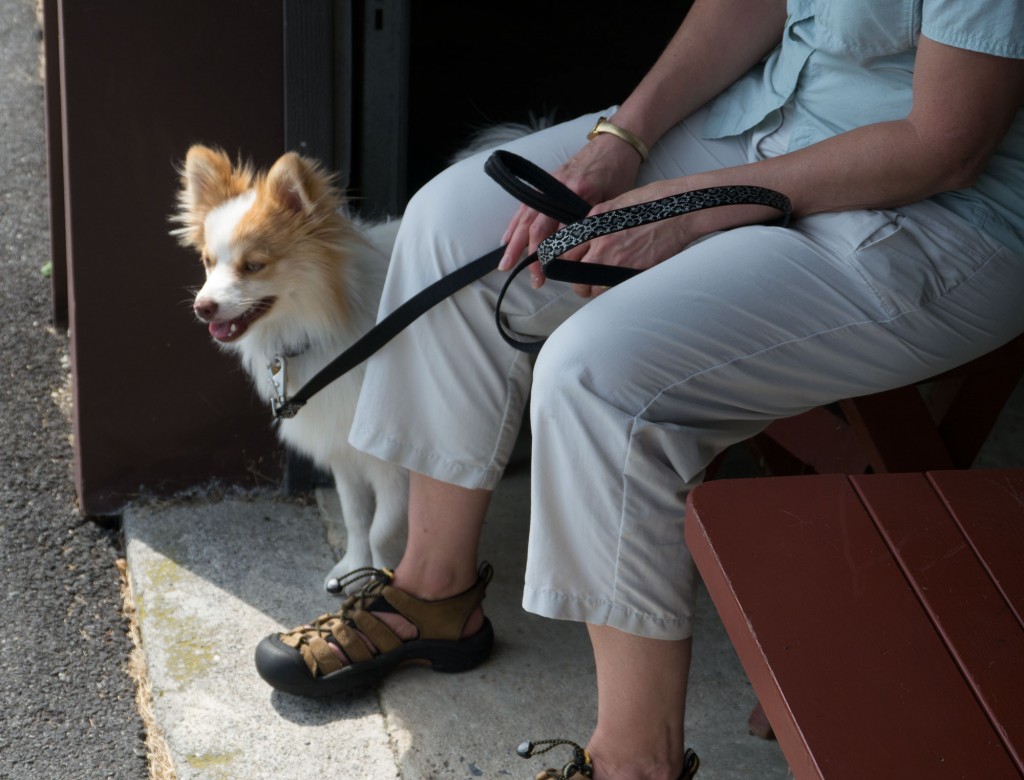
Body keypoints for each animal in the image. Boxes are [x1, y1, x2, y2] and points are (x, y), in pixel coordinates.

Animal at [173, 145, 407, 585]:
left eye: (253, 266)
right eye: (208, 262)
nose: (202, 307)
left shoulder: (390, 460)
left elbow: (383, 529)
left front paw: (382, 582)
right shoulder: (341, 447)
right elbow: (355, 516)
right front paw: (356, 568)